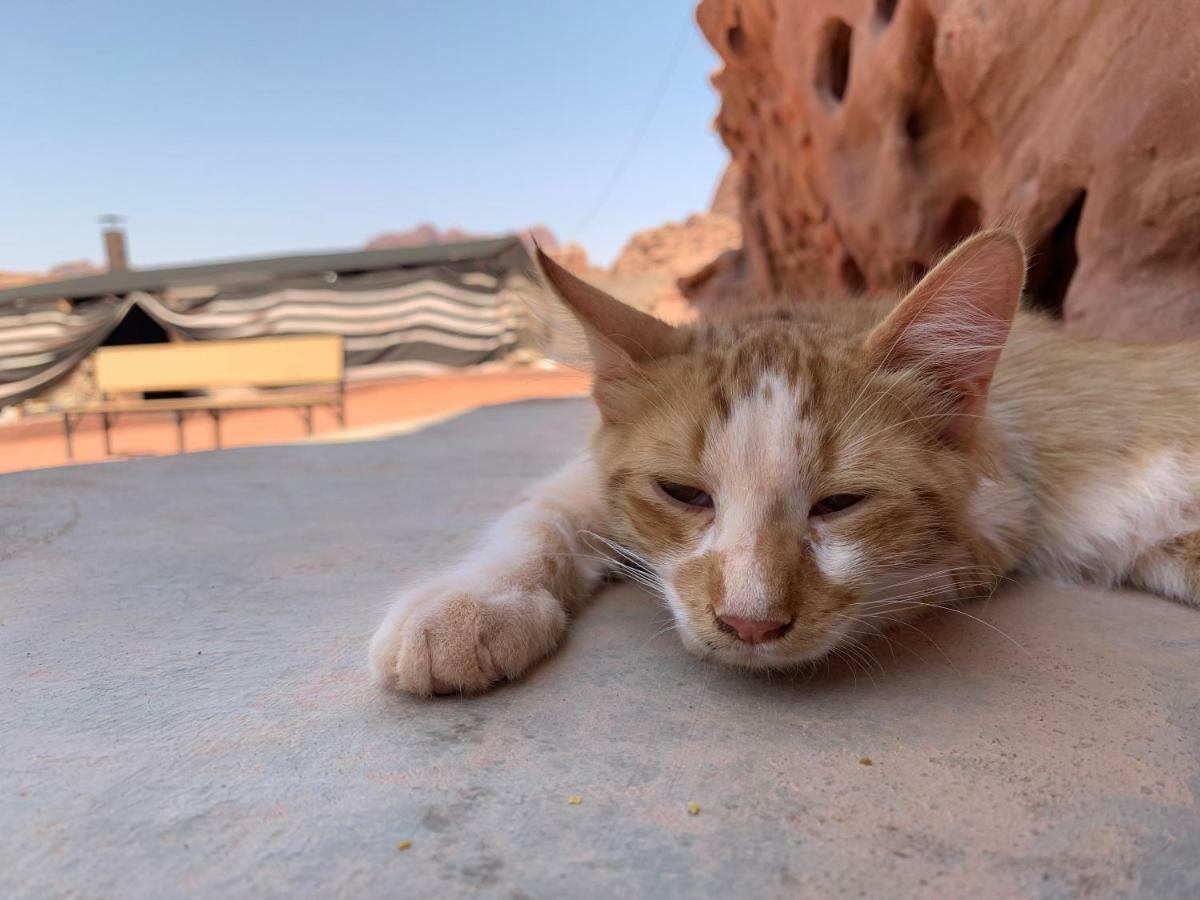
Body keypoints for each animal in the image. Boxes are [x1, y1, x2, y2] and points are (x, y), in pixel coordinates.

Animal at [369, 226, 1200, 696]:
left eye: (840, 503)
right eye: (683, 492)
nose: (749, 622)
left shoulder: (1000, 510)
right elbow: (546, 510)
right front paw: (471, 601)